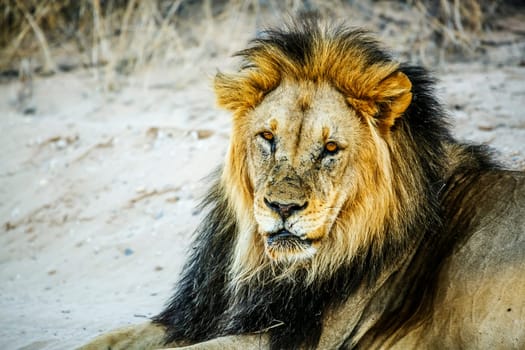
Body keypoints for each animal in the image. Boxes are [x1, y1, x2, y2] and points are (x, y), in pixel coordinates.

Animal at [80, 19, 520, 350]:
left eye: (330, 148)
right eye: (267, 138)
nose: (283, 208)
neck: (263, 265)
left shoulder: (296, 337)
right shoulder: (196, 315)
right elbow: (107, 339)